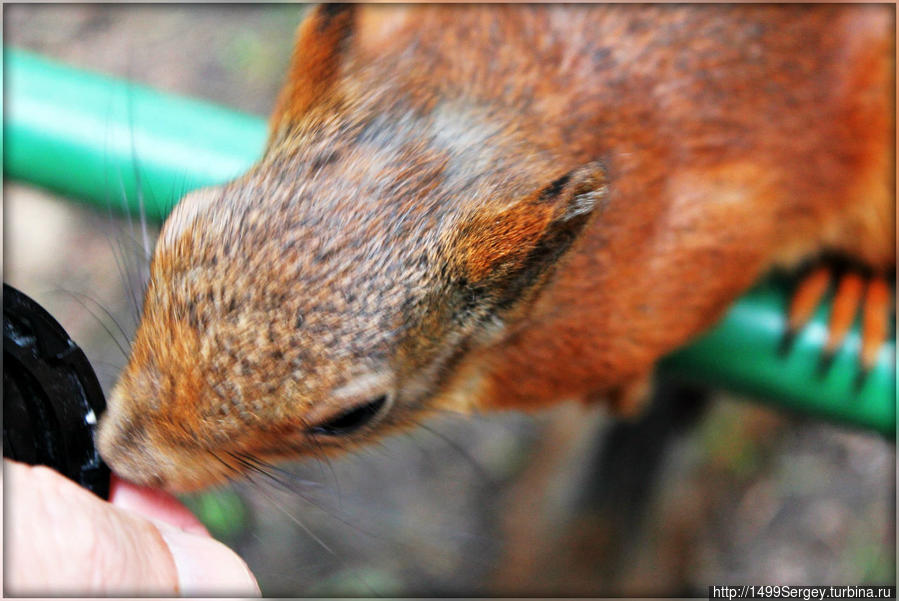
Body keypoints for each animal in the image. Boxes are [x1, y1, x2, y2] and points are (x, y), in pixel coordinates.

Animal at [96, 5, 892, 492]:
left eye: (352, 416)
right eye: (177, 226)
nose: (121, 455)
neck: (490, 121)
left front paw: (628, 384)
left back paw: (857, 287)